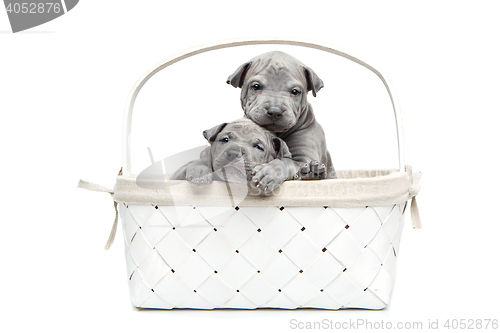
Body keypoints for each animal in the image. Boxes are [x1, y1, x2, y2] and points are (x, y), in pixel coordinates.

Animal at [228, 52, 338, 192]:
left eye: (295, 91)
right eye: (256, 86)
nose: (275, 111)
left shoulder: (302, 159)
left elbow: (286, 162)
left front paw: (268, 173)